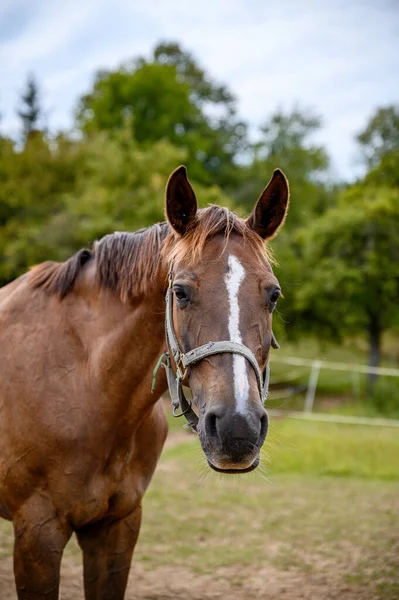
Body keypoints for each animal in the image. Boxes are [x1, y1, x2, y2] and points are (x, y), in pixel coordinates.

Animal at [0, 165, 290, 600]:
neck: (85, 385)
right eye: (180, 292)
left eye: (273, 295)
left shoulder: (118, 526)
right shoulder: (38, 533)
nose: (238, 429)